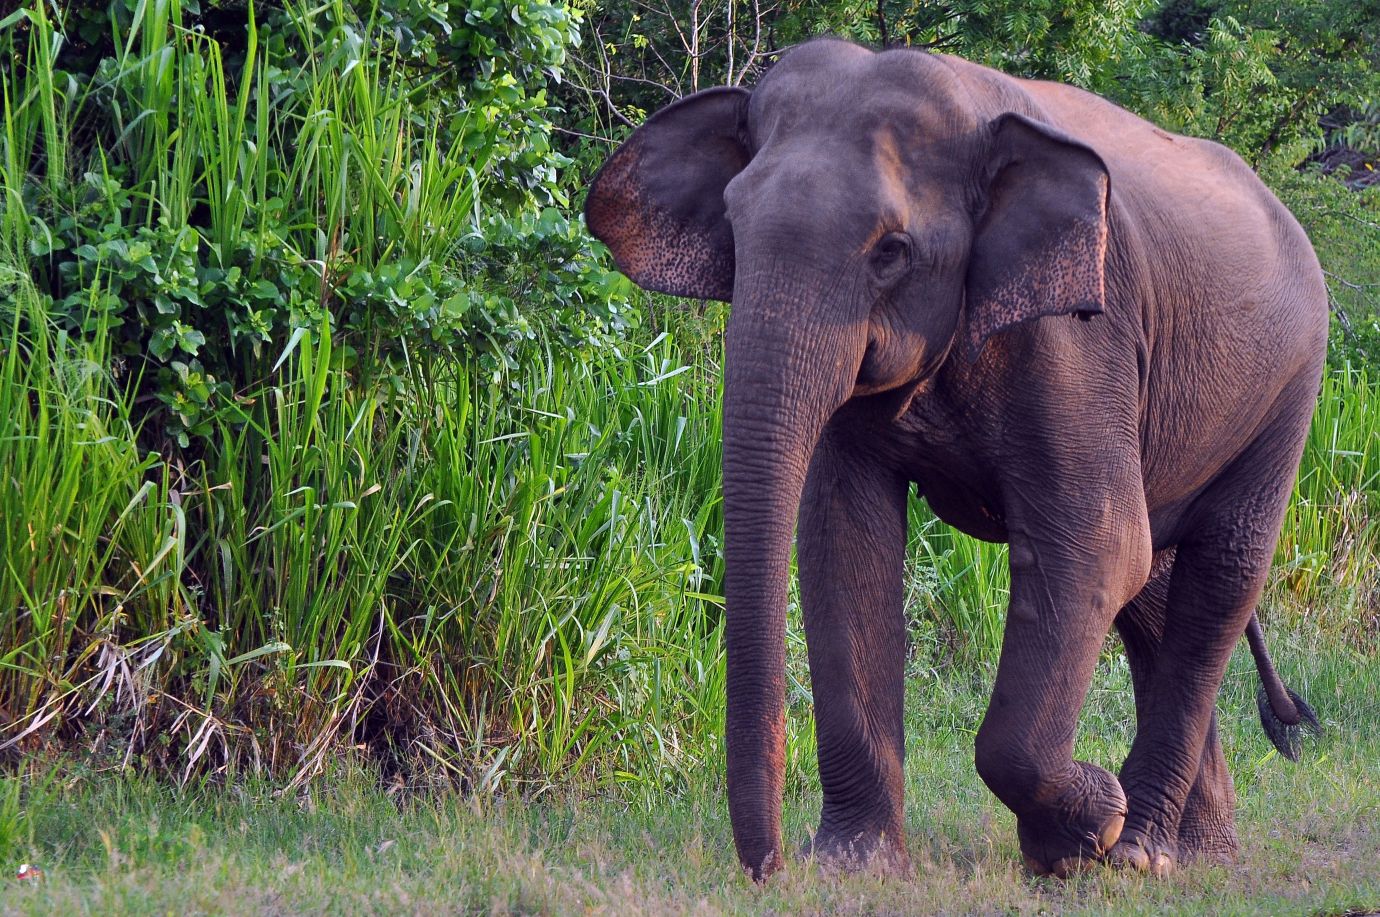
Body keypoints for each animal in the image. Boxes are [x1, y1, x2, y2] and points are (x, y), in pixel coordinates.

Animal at [584, 38, 1327, 881]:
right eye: (734, 232)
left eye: (892, 252)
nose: (769, 867)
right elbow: (843, 542)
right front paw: (854, 864)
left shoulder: (1077, 340)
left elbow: (1095, 546)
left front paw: (1086, 830)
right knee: (1157, 590)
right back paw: (1191, 848)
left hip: (1288, 386)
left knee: (1218, 573)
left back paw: (1140, 845)